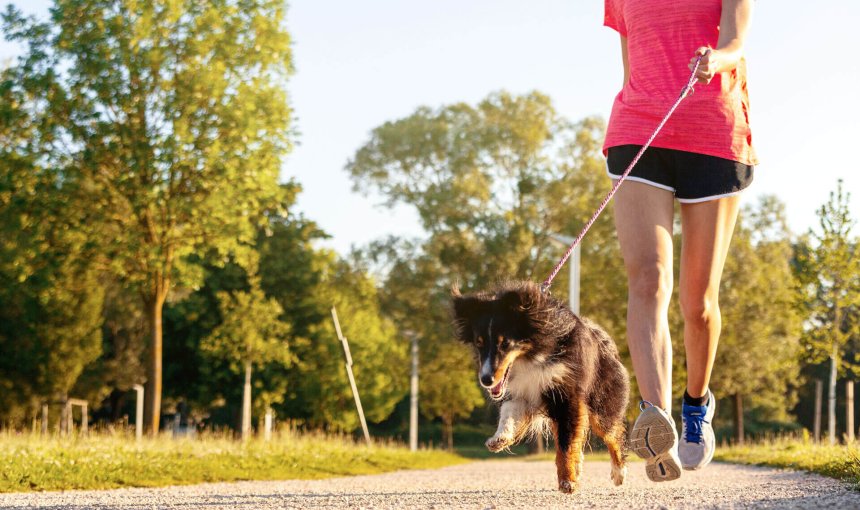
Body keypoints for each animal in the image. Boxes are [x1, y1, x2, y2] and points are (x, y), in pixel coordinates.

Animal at [450, 280, 632, 492]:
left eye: (505, 343)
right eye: (479, 343)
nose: (486, 380)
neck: (532, 355)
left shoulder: (565, 392)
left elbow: (566, 442)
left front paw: (567, 481)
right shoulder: (521, 389)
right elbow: (508, 413)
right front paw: (498, 439)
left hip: (602, 400)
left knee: (612, 432)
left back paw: (619, 473)